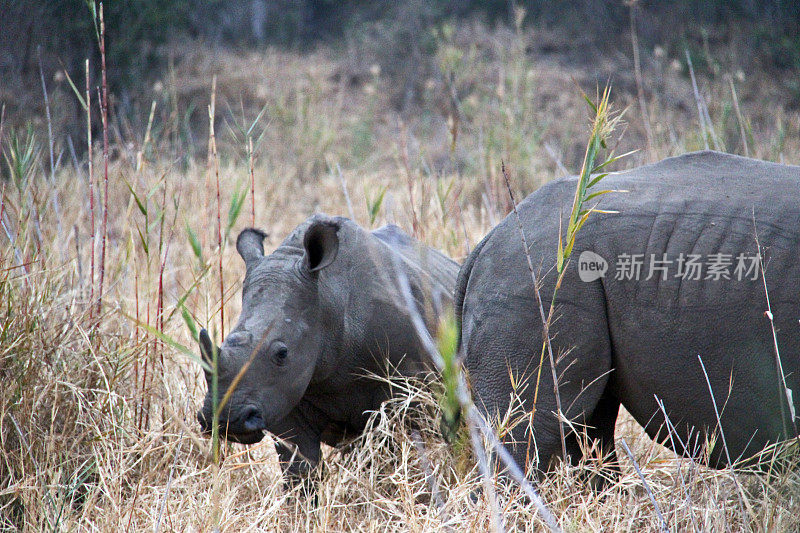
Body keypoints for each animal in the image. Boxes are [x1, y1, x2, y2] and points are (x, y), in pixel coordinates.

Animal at [198, 214, 460, 484]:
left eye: (282, 353)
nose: (227, 419)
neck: (328, 298)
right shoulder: (283, 397)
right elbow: (301, 470)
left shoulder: (407, 391)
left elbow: (390, 455)